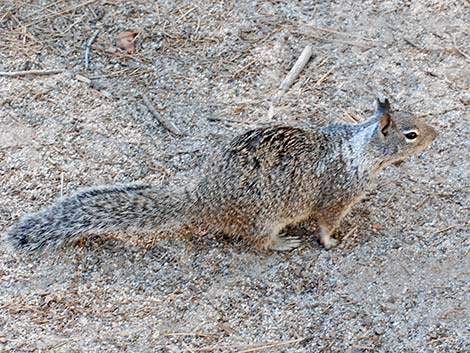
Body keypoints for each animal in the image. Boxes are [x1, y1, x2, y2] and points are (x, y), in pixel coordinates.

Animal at [5, 97, 436, 252]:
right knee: (256, 243)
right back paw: (282, 245)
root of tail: (202, 198)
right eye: (411, 134)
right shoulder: (335, 198)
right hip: (265, 219)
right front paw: (330, 243)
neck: (360, 150)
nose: (437, 134)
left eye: (417, 116)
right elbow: (326, 226)